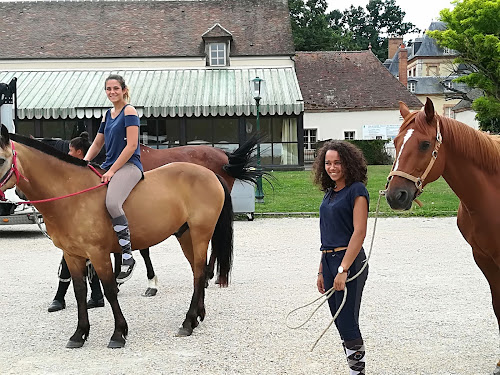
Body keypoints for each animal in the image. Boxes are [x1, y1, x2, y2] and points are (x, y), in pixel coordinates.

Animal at [0, 126, 234, 350]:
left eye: (1, 159)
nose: (18, 195)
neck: (73, 194)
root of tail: (210, 174)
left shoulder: (98, 253)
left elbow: (110, 290)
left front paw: (118, 333)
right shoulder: (72, 255)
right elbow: (79, 291)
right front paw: (79, 334)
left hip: (200, 234)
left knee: (199, 273)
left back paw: (187, 322)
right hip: (185, 235)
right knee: (197, 272)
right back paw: (196, 316)